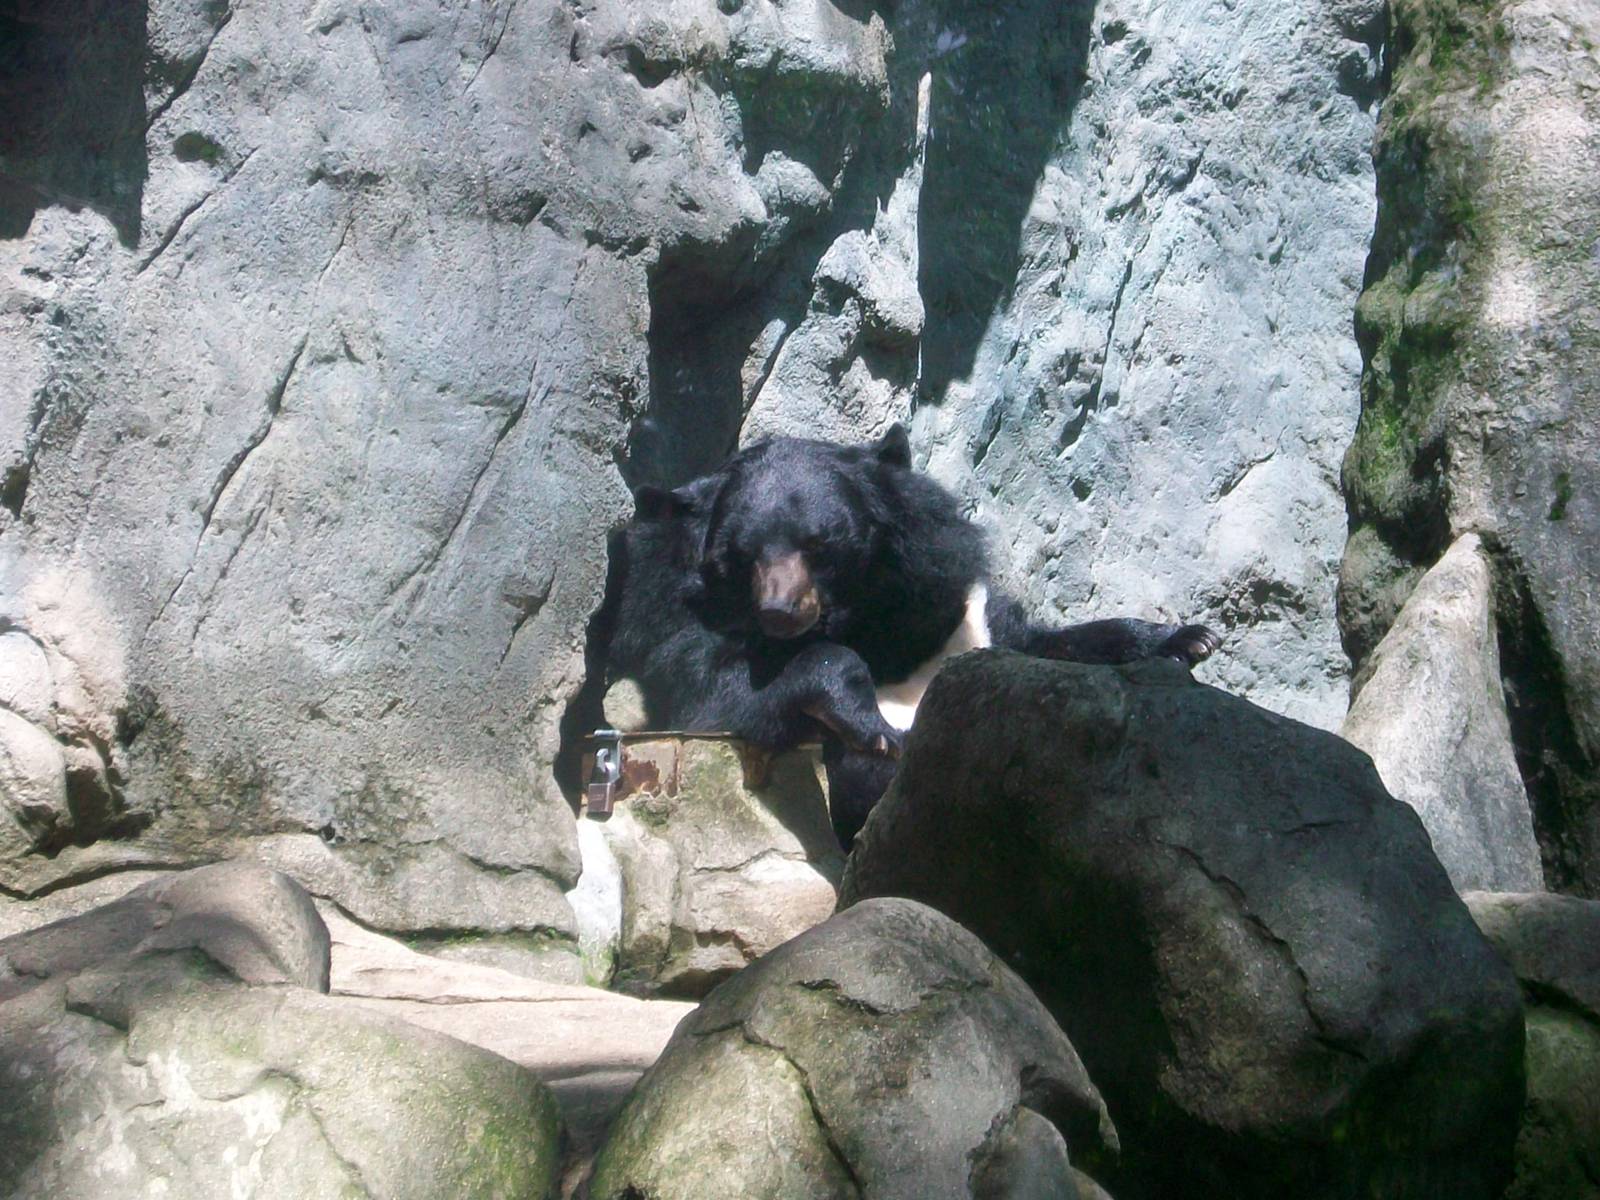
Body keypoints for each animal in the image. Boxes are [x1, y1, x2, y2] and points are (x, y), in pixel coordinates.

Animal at [599, 424, 1219, 847]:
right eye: (743, 554)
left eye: (818, 544)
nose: (779, 610)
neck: (866, 624)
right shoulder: (673, 620)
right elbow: (718, 692)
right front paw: (873, 727)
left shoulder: (957, 612)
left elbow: (1039, 647)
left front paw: (1187, 639)